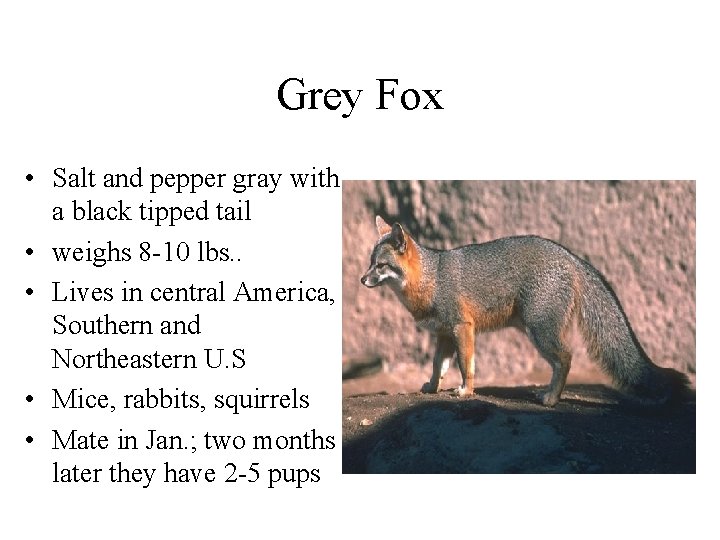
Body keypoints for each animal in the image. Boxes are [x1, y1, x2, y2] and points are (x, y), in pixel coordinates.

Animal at [360, 216, 690, 407]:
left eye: (381, 266)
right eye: (370, 263)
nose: (362, 280)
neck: (432, 278)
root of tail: (571, 256)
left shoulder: (462, 327)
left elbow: (466, 365)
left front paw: (466, 392)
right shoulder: (443, 334)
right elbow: (437, 366)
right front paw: (431, 388)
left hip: (539, 331)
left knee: (566, 357)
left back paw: (551, 399)